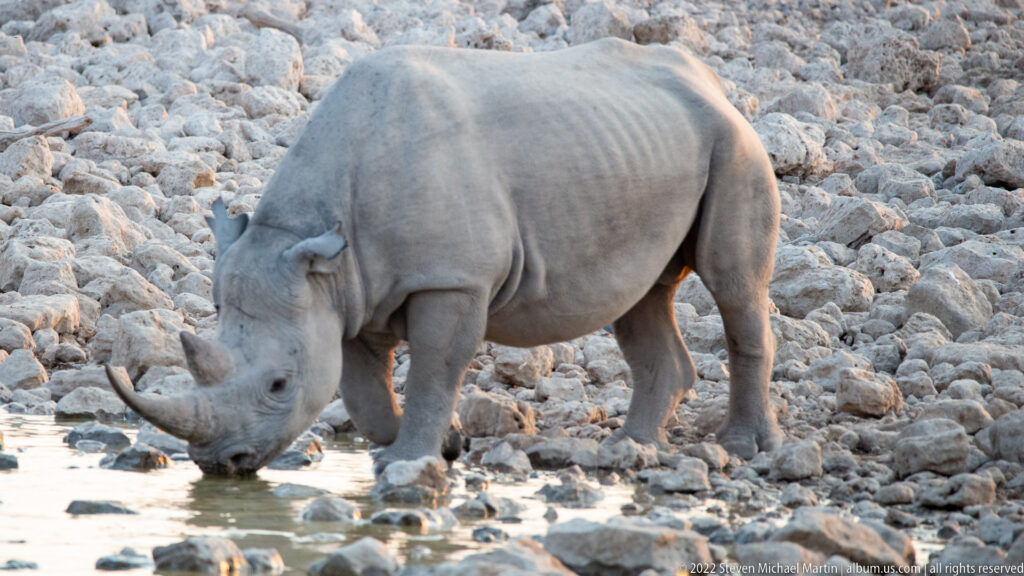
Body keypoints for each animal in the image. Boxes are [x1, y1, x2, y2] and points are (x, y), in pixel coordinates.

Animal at [106, 38, 783, 476]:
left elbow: (436, 366)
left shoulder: (451, 279)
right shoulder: (346, 287)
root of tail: (711, 82)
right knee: (641, 296)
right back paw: (629, 450)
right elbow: (362, 389)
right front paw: (441, 447)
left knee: (733, 287)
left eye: (278, 384)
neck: (303, 230)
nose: (219, 464)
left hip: (735, 144)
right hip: (644, 146)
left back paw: (742, 448)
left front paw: (412, 460)